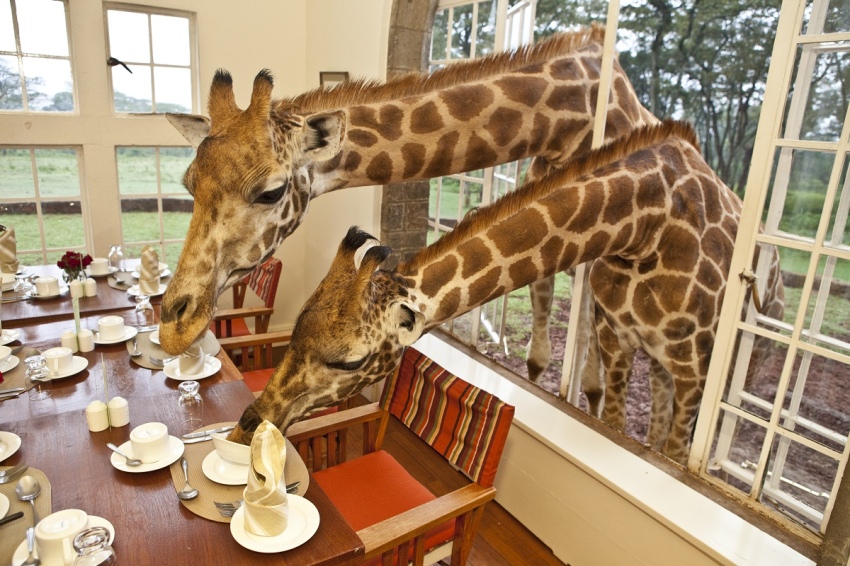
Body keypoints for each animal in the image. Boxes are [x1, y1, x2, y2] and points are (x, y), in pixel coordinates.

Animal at [227, 121, 746, 465]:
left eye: (351, 361)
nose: (243, 428)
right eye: (294, 331)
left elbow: (670, 445)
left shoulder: (694, 368)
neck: (643, 219)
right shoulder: (625, 345)